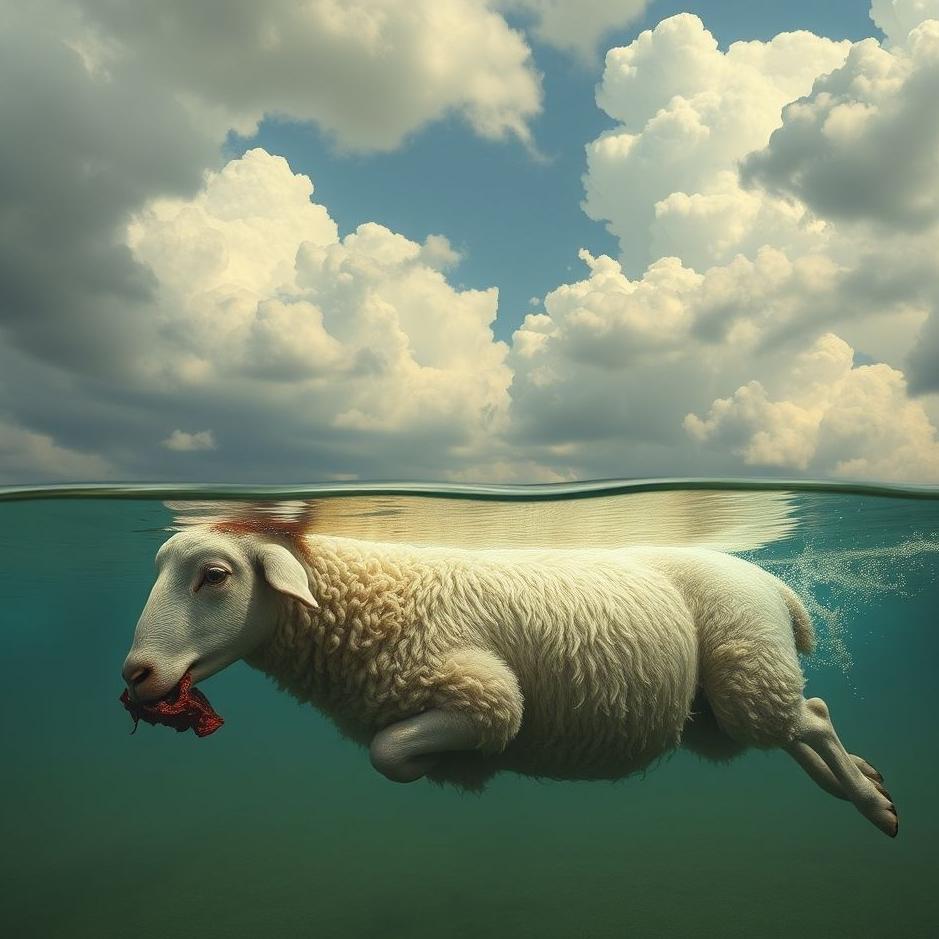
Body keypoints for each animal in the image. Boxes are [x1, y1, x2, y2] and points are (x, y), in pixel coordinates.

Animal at [122, 518, 898, 837]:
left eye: (215, 576)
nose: (136, 673)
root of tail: (776, 586)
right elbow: (388, 751)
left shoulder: (482, 694)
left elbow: (390, 752)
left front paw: (452, 764)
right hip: (714, 711)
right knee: (802, 722)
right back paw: (858, 779)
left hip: (745, 667)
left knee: (810, 717)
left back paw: (869, 801)